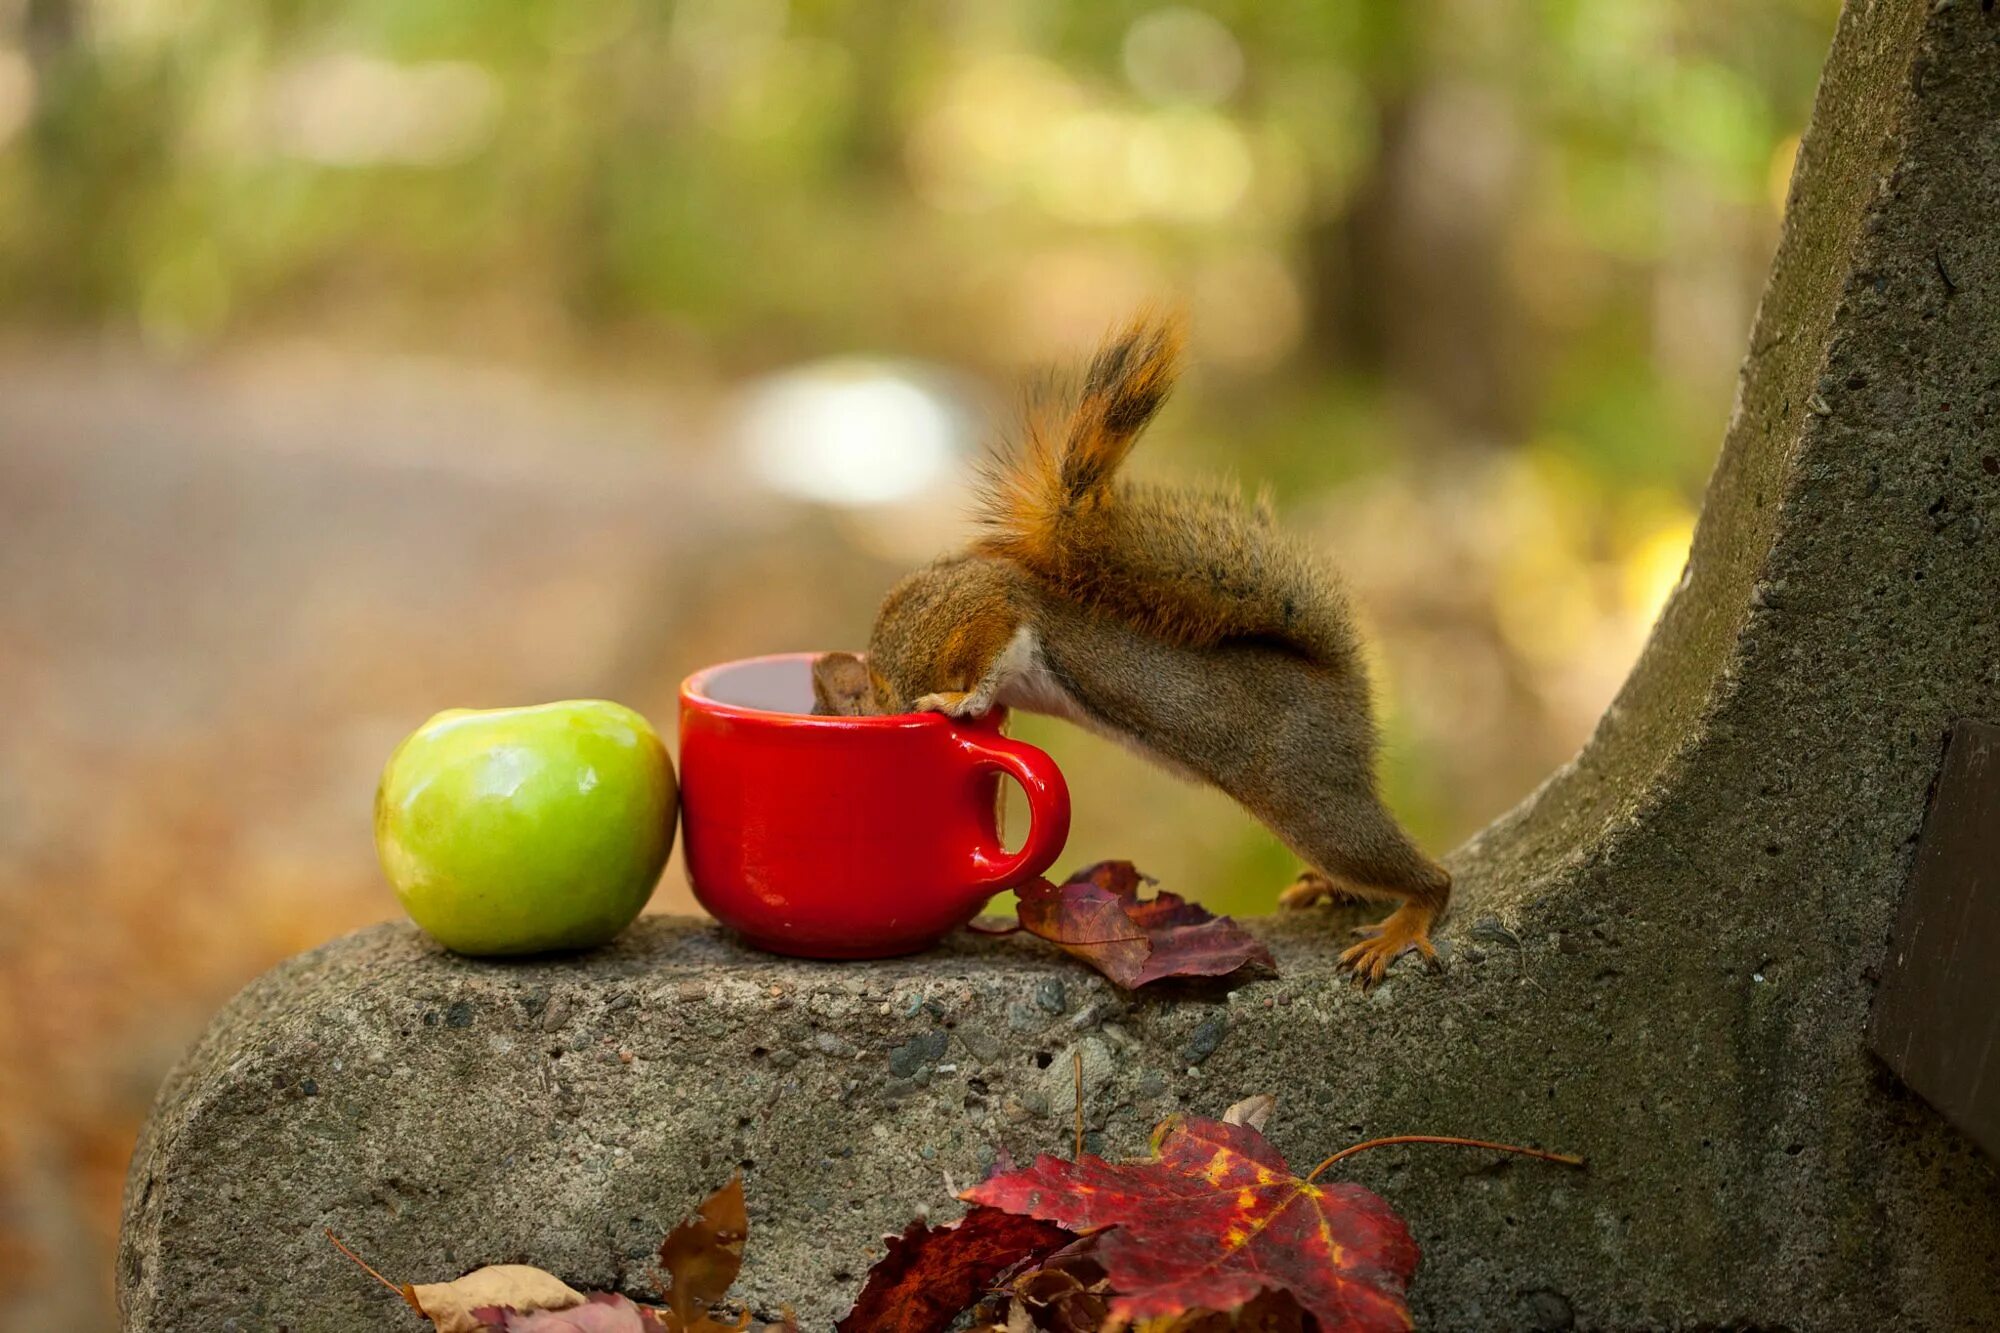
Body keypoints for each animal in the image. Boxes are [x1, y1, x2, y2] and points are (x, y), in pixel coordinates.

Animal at [812, 308, 1456, 976]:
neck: (890, 665)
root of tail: (1344, 684)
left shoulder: (980, 612)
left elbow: (990, 652)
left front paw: (957, 703)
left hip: (1308, 792)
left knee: (1419, 873)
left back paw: (1403, 922)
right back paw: (1327, 888)